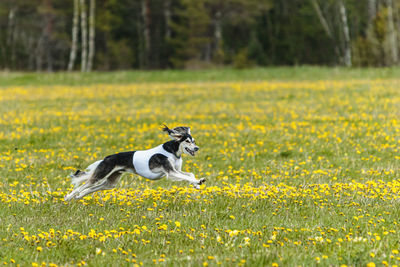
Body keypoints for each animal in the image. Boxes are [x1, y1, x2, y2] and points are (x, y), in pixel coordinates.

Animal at [64, 125, 206, 201]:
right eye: (187, 141)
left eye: (194, 141)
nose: (197, 148)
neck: (172, 151)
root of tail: (108, 157)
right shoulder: (170, 172)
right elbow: (186, 176)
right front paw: (198, 181)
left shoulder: (176, 170)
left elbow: (190, 174)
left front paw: (196, 185)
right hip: (102, 173)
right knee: (83, 185)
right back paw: (68, 197)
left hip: (111, 182)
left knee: (92, 188)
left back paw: (79, 196)